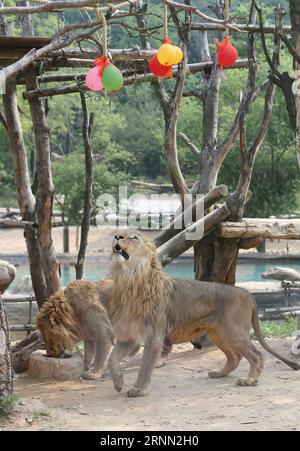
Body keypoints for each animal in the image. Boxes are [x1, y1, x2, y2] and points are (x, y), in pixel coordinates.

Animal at [108, 235, 300, 398]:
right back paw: (219, 373)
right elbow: (112, 359)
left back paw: (250, 380)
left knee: (256, 354)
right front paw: (118, 383)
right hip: (219, 334)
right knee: (235, 356)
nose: (117, 236)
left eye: (134, 237)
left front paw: (139, 389)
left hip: (233, 331)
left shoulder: (154, 335)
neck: (130, 281)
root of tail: (247, 293)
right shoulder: (129, 336)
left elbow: (145, 365)